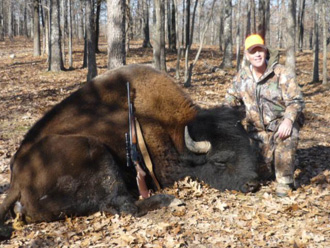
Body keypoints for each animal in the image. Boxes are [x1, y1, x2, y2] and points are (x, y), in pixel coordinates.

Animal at [0, 65, 258, 224]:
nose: (254, 183)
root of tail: (16, 182)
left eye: (248, 148)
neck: (170, 127)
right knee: (125, 206)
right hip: (95, 151)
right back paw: (171, 200)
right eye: (220, 161)